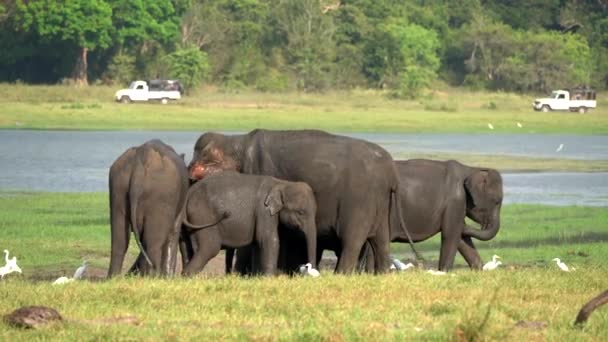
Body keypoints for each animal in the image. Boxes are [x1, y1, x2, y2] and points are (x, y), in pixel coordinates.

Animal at [182, 170, 316, 276]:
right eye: (300, 213)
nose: (310, 270)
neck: (283, 183)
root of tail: (189, 192)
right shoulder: (263, 211)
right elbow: (269, 240)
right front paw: (269, 278)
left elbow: (259, 243)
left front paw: (258, 276)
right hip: (202, 216)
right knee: (209, 248)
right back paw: (188, 277)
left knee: (188, 248)